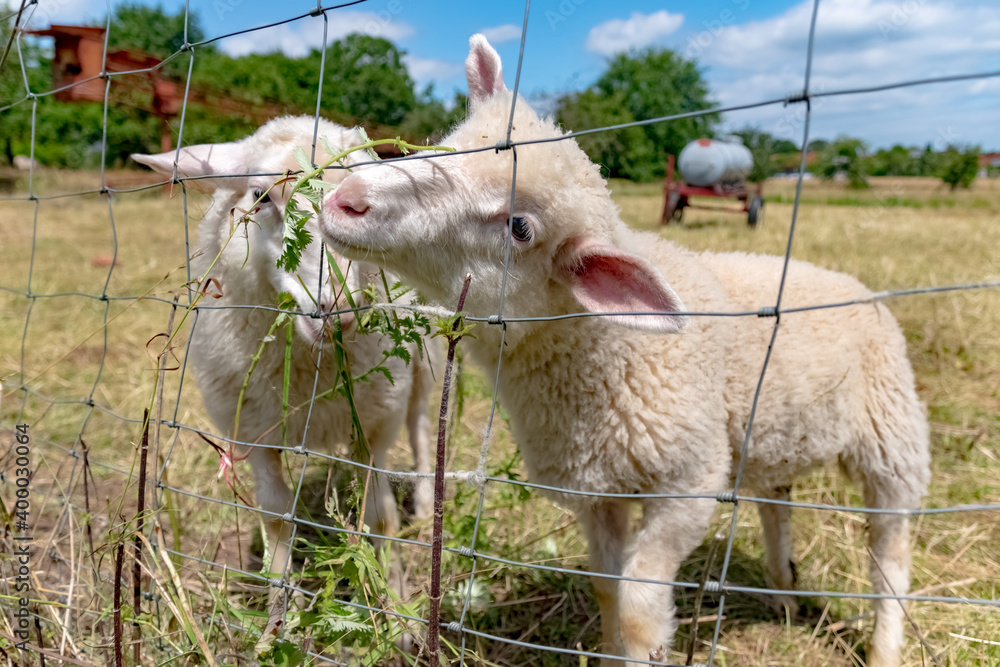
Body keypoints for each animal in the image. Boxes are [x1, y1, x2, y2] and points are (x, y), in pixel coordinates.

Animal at [132, 116, 435, 602]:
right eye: (260, 196)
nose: (337, 310)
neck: (314, 363)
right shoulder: (252, 432)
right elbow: (276, 518)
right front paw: (279, 606)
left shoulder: (375, 425)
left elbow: (380, 516)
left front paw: (394, 602)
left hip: (425, 361)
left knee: (423, 429)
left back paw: (425, 507)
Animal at [316, 35, 931, 667]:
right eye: (447, 145)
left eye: (519, 228)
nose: (347, 199)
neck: (606, 353)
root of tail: (847, 279)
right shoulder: (595, 491)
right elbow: (606, 589)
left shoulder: (691, 480)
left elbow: (636, 604)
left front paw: (638, 646)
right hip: (772, 438)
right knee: (776, 503)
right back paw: (784, 594)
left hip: (891, 437)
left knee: (891, 552)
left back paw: (884, 645)